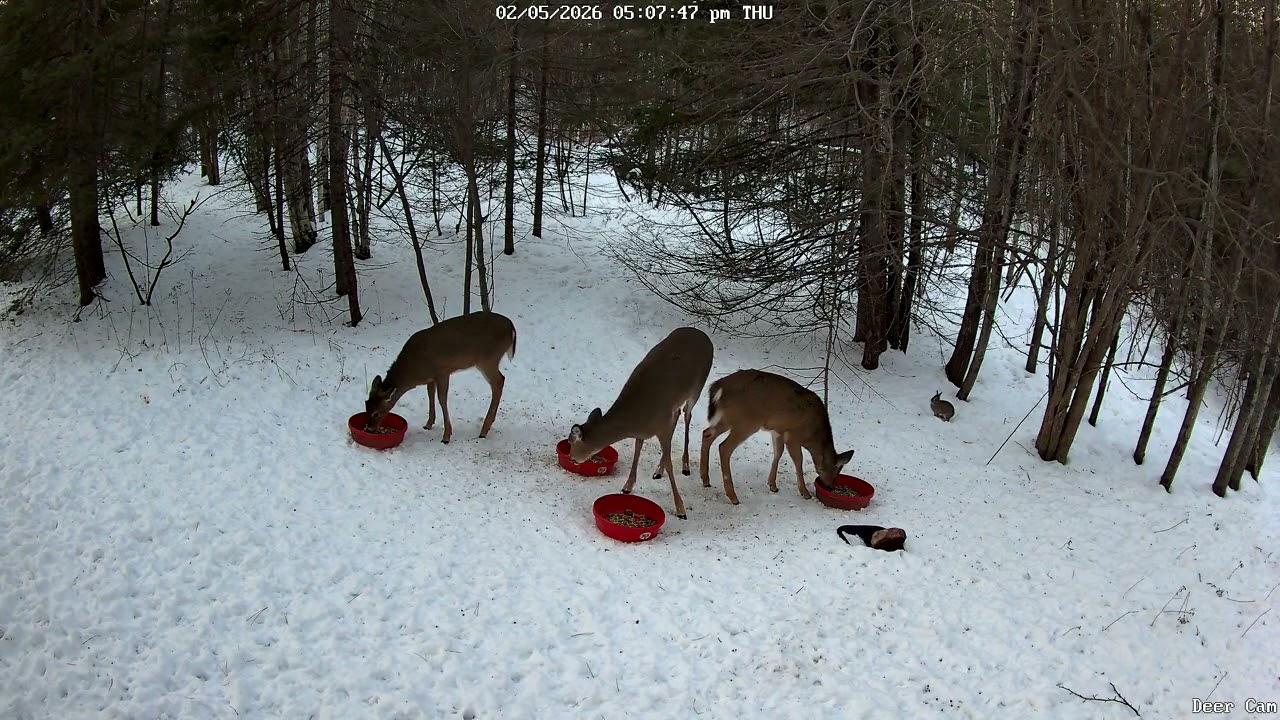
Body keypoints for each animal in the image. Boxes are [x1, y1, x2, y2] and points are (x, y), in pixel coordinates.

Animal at [365, 311, 517, 443]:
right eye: (366, 405)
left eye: (376, 413)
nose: (369, 429)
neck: (414, 370)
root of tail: (511, 328)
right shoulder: (431, 377)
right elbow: (430, 394)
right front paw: (428, 424)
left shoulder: (443, 371)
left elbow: (442, 399)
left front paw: (446, 436)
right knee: (500, 381)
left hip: (488, 359)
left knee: (498, 382)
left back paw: (483, 431)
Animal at [565, 327, 714, 520]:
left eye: (571, 441)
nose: (571, 458)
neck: (637, 418)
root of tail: (702, 334)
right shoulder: (646, 430)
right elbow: (638, 450)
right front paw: (627, 486)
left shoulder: (662, 425)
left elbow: (669, 463)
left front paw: (681, 509)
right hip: (675, 408)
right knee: (677, 418)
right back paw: (658, 471)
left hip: (697, 388)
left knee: (687, 415)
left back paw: (685, 466)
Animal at [699, 369, 854, 505]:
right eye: (835, 472)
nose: (830, 487)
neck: (812, 435)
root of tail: (719, 386)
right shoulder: (793, 435)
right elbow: (798, 460)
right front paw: (804, 492)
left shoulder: (778, 430)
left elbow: (778, 452)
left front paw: (772, 485)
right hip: (747, 422)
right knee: (724, 447)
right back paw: (733, 497)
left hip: (727, 419)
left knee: (707, 434)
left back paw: (705, 479)